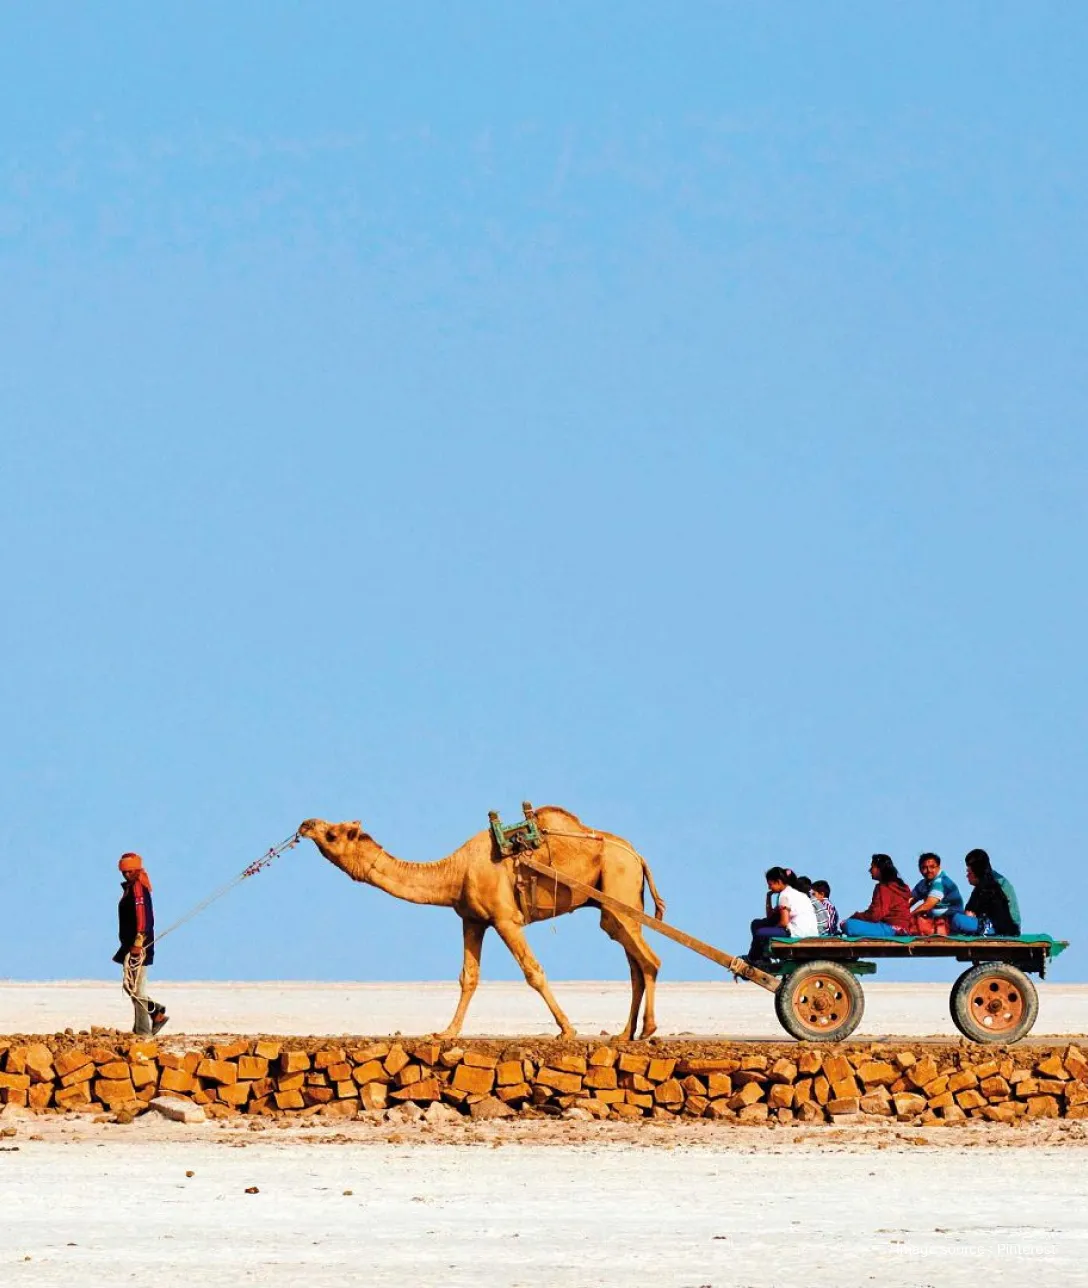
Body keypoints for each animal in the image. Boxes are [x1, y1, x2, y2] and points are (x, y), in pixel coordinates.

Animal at [298, 807, 667, 1040]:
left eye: (332, 834)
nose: (305, 824)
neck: (456, 871)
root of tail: (638, 855)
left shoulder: (505, 919)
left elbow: (533, 971)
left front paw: (567, 1030)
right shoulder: (473, 920)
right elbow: (469, 977)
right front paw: (446, 1032)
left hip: (618, 887)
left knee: (649, 959)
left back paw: (647, 1029)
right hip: (617, 903)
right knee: (633, 960)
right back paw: (625, 1034)